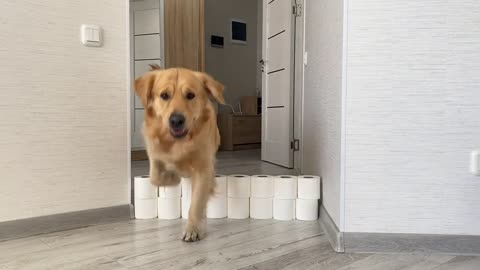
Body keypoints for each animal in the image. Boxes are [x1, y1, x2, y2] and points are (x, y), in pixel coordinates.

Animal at [134, 66, 224, 243]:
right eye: (164, 95)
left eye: (190, 95)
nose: (176, 120)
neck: (178, 143)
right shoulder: (154, 154)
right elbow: (155, 177)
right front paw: (172, 178)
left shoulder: (203, 168)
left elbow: (196, 203)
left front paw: (192, 229)